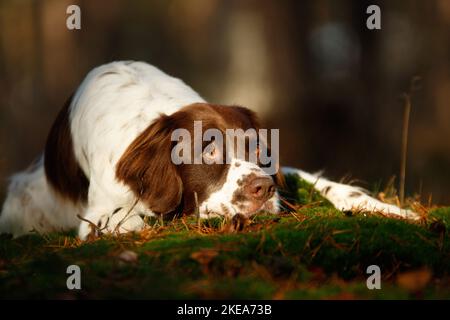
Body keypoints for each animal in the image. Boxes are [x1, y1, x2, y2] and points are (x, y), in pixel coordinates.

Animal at [0, 60, 416, 240]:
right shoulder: (101, 214)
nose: (263, 189)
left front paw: (394, 210)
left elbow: (332, 185)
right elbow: (131, 219)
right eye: (209, 153)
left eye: (259, 149)